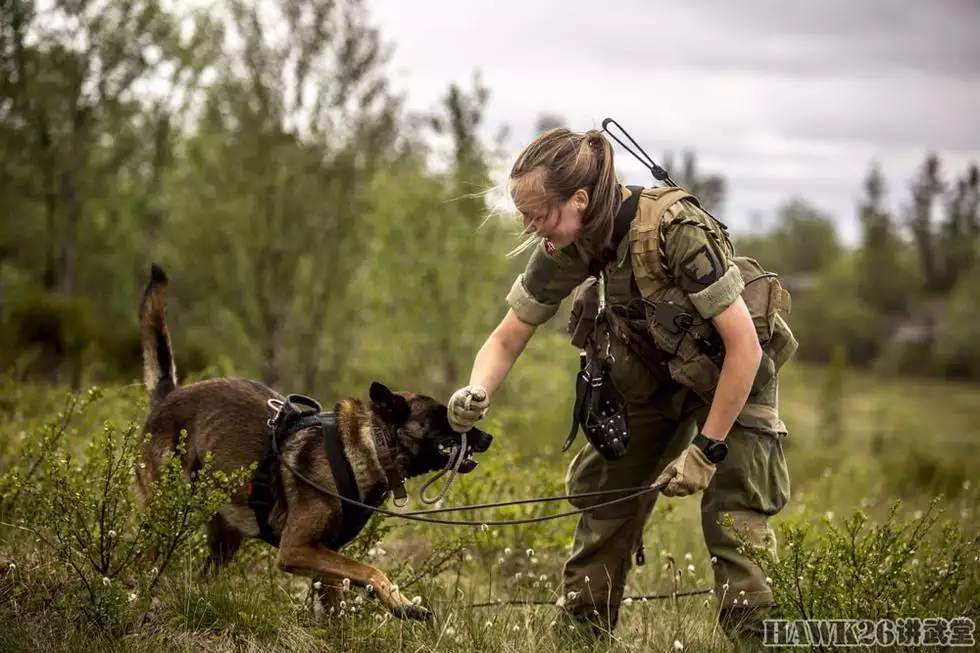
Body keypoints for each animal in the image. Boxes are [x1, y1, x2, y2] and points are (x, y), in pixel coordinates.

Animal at [134, 262, 494, 620]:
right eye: (446, 417)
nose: (488, 437)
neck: (365, 449)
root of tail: (169, 395)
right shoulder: (295, 548)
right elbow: (371, 570)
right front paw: (400, 602)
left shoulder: (326, 553)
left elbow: (337, 604)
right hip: (164, 511)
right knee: (143, 562)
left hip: (224, 534)